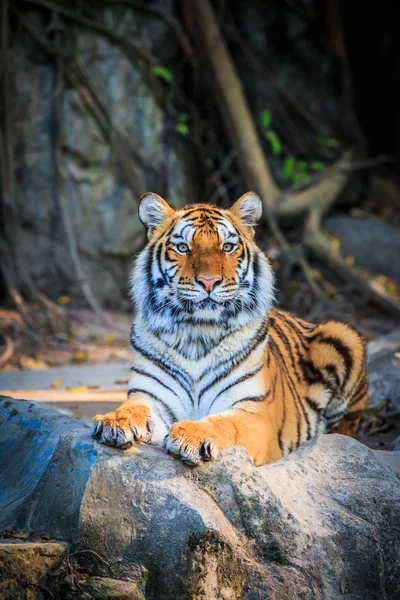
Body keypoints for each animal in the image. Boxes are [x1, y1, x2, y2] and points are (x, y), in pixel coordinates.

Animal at [91, 191, 368, 464]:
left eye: (227, 247)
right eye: (182, 247)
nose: (209, 282)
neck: (197, 333)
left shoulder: (255, 412)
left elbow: (225, 424)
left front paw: (192, 434)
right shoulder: (150, 395)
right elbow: (132, 407)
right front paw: (114, 421)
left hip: (343, 335)